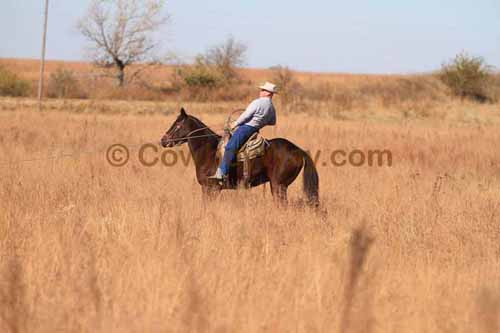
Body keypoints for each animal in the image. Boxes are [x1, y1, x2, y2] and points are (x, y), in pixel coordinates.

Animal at [162, 107, 322, 205]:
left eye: (177, 125)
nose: (163, 140)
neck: (209, 151)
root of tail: (298, 150)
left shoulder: (211, 188)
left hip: (278, 186)